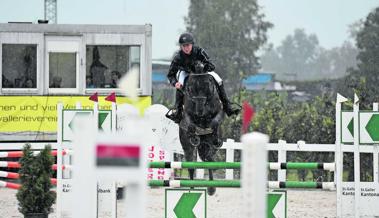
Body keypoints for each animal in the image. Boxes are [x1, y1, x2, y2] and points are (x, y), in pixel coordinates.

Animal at [179, 63, 226, 196]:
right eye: (190, 88)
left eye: (208, 85)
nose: (199, 112)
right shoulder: (187, 114)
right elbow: (190, 123)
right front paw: (194, 136)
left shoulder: (219, 112)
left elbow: (215, 122)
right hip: (188, 147)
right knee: (191, 165)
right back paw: (193, 188)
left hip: (206, 144)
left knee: (208, 157)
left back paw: (211, 188)